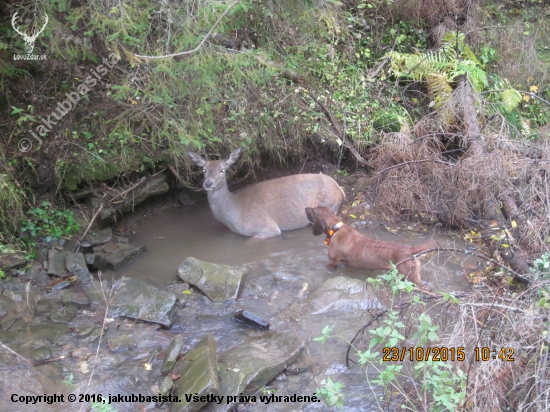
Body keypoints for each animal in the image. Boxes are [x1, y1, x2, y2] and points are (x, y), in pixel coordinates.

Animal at [306, 206, 436, 290]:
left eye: (314, 210)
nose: (306, 208)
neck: (336, 228)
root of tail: (410, 249)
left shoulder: (332, 263)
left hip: (409, 276)